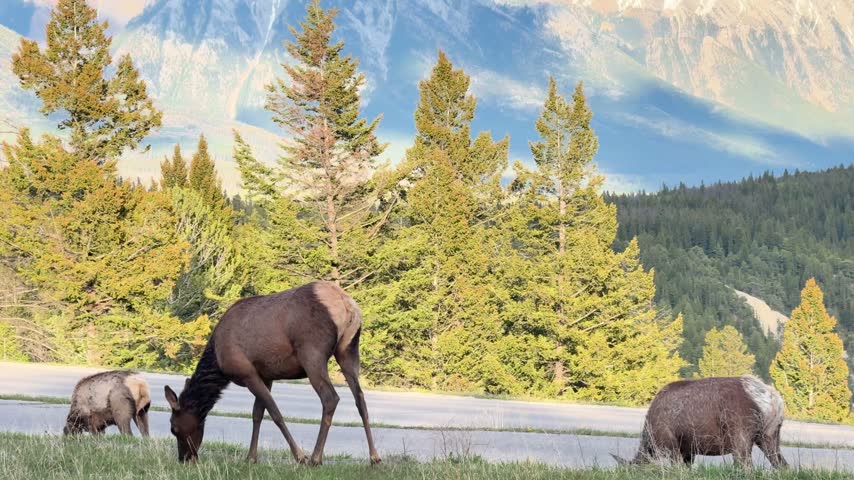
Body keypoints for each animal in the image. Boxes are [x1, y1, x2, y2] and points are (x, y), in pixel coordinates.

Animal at [164, 281, 380, 466]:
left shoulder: (248, 373)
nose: (184, 458)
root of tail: (348, 305)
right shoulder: (266, 375)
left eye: (174, 428)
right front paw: (251, 457)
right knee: (360, 398)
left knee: (330, 398)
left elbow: (274, 412)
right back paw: (374, 457)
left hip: (312, 352)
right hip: (348, 349)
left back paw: (315, 458)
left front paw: (299, 456)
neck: (218, 360)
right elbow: (257, 414)